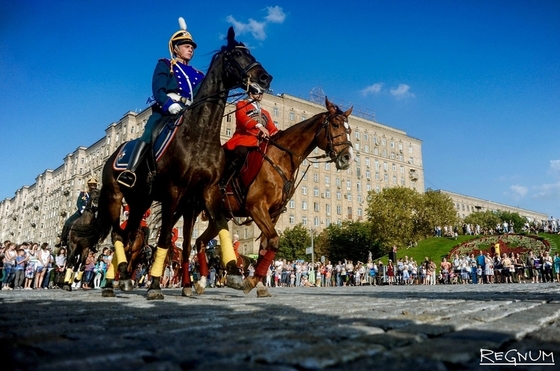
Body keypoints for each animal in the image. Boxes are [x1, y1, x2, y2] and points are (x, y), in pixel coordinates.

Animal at [77, 26, 274, 300]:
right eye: (236, 54)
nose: (265, 78)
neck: (199, 134)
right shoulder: (173, 191)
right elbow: (163, 238)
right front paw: (155, 285)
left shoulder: (207, 192)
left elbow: (218, 227)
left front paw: (234, 273)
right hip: (115, 197)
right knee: (117, 233)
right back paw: (112, 284)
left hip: (140, 202)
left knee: (128, 235)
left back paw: (123, 278)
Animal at [190, 98, 352, 296]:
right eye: (335, 125)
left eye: (350, 130)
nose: (347, 157)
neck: (280, 159)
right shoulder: (256, 207)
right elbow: (274, 240)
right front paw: (251, 281)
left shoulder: (273, 213)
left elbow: (264, 246)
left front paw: (257, 282)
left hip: (218, 217)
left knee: (200, 241)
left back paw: (201, 282)